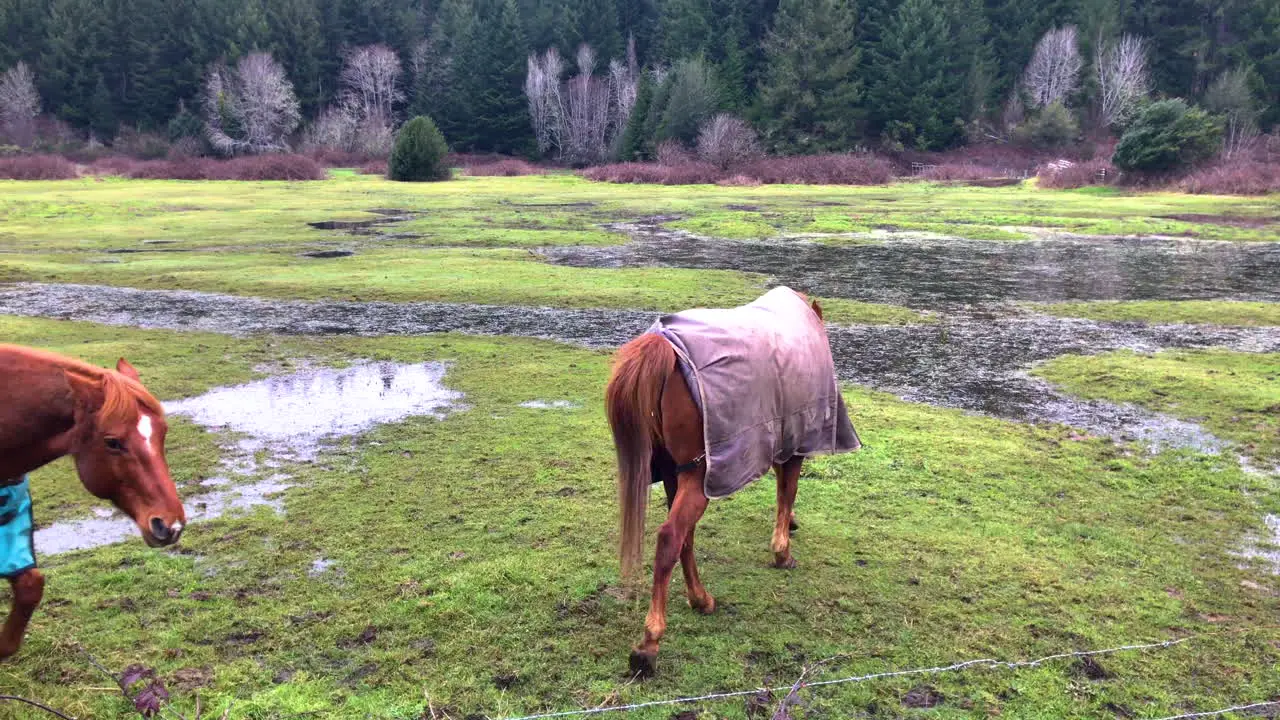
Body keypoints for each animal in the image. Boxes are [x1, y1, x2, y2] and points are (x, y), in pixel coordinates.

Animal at [606, 285, 860, 671]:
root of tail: (664, 344)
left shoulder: (778, 437)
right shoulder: (796, 441)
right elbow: (787, 491)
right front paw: (783, 552)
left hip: (677, 474)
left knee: (685, 539)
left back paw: (701, 599)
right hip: (699, 478)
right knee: (670, 538)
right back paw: (649, 644)